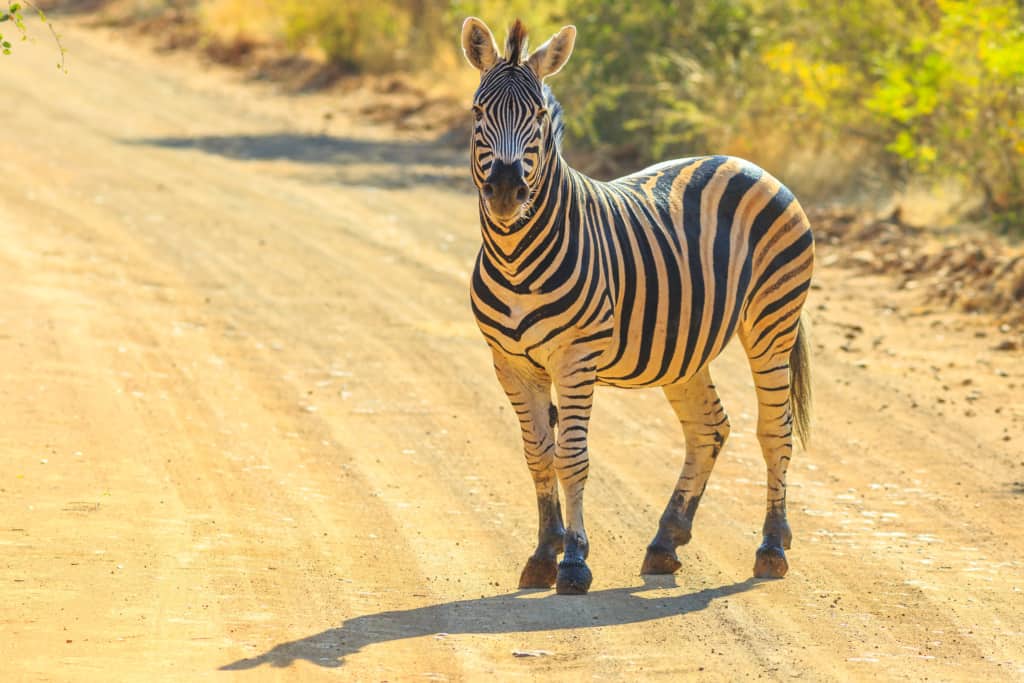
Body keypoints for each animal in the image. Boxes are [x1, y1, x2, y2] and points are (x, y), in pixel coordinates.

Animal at [460, 14, 811, 593]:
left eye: (538, 116)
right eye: (478, 112)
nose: (508, 191)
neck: (515, 256)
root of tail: (744, 161)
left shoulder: (575, 360)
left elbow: (572, 458)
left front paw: (574, 562)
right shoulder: (510, 364)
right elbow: (538, 456)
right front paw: (543, 555)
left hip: (771, 323)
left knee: (773, 431)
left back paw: (772, 547)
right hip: (686, 348)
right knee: (709, 429)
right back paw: (666, 541)